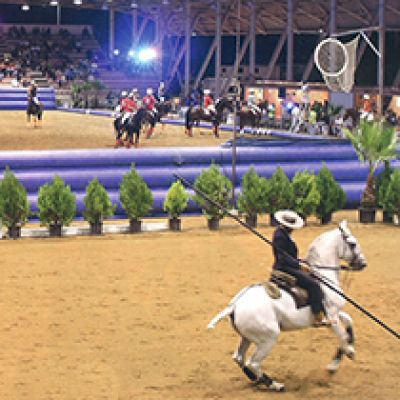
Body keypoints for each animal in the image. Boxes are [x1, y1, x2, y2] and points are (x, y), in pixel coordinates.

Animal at [208, 220, 368, 392]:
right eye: (352, 244)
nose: (363, 263)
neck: (324, 278)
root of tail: (235, 305)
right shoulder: (331, 316)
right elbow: (342, 337)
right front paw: (342, 358)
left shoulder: (333, 315)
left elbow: (349, 321)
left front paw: (346, 352)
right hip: (268, 338)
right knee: (253, 362)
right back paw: (275, 385)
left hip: (247, 337)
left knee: (239, 357)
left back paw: (257, 380)